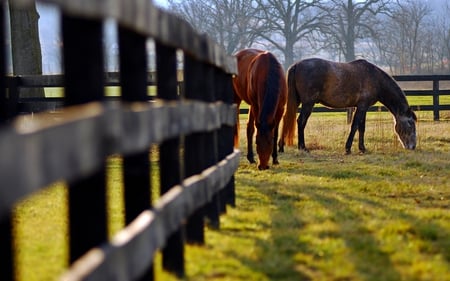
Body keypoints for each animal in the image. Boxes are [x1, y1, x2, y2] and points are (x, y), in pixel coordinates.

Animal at [280, 57, 416, 153]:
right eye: (410, 124)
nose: (413, 146)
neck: (375, 78)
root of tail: (296, 65)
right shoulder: (362, 107)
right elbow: (355, 126)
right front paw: (348, 148)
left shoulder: (362, 107)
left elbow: (362, 128)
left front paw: (362, 148)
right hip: (308, 103)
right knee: (301, 121)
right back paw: (302, 147)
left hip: (297, 101)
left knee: (287, 119)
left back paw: (282, 146)